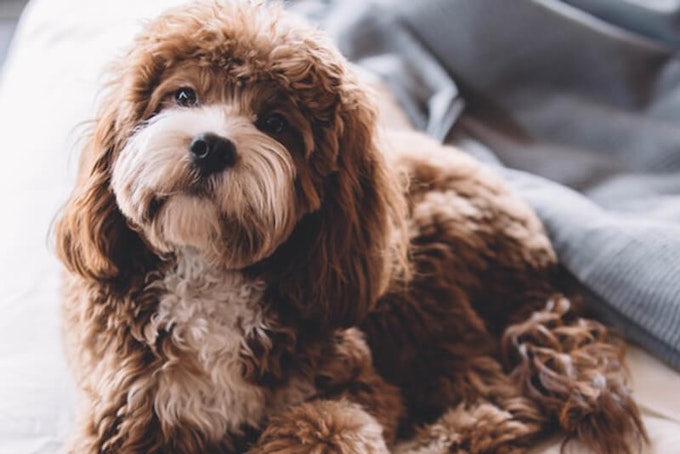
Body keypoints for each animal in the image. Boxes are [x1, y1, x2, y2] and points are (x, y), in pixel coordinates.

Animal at [55, 1, 644, 452]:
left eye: (276, 124)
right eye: (183, 96)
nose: (211, 146)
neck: (210, 269)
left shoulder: (355, 381)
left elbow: (328, 422)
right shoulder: (130, 408)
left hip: (418, 273)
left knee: (500, 396)